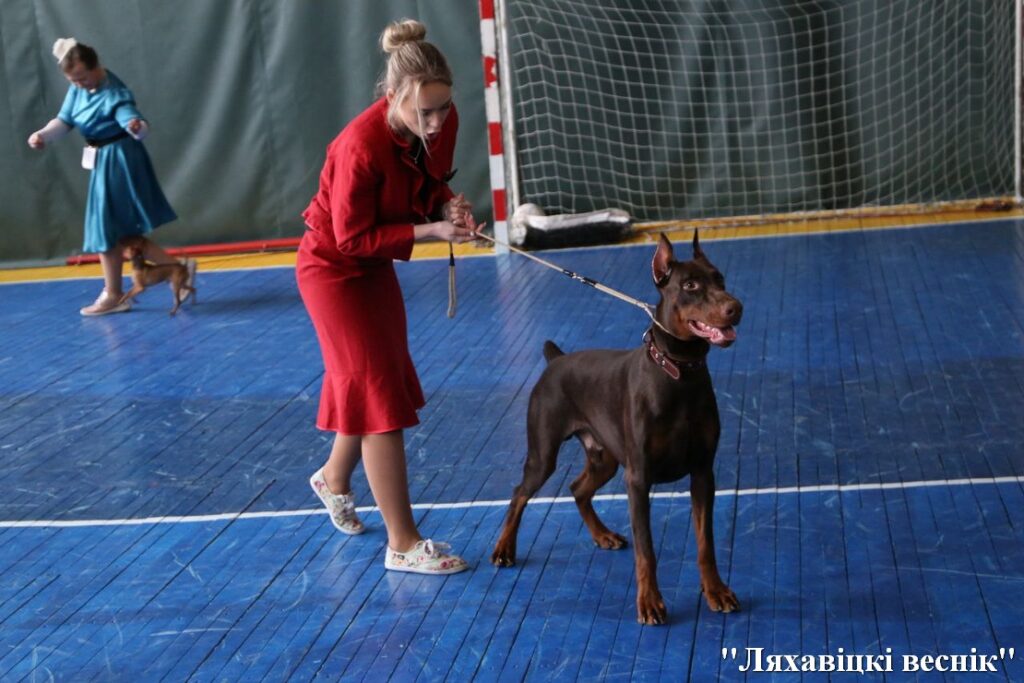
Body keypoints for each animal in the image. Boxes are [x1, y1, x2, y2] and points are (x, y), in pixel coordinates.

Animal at [491, 231, 742, 625]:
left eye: (720, 279)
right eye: (689, 285)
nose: (736, 307)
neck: (678, 374)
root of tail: (556, 359)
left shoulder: (703, 471)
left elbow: (706, 543)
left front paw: (716, 590)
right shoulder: (638, 477)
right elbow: (647, 550)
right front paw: (650, 602)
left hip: (605, 456)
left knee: (578, 488)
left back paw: (603, 535)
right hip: (544, 453)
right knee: (519, 493)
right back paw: (504, 548)